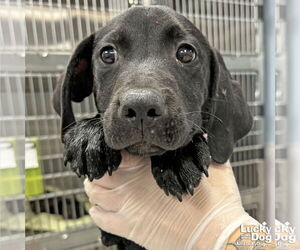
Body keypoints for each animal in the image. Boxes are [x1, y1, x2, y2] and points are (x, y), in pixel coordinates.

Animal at [52, 5, 252, 250]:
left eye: (186, 53)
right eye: (107, 54)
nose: (140, 106)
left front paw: (179, 157)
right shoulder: (109, 232)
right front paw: (88, 137)